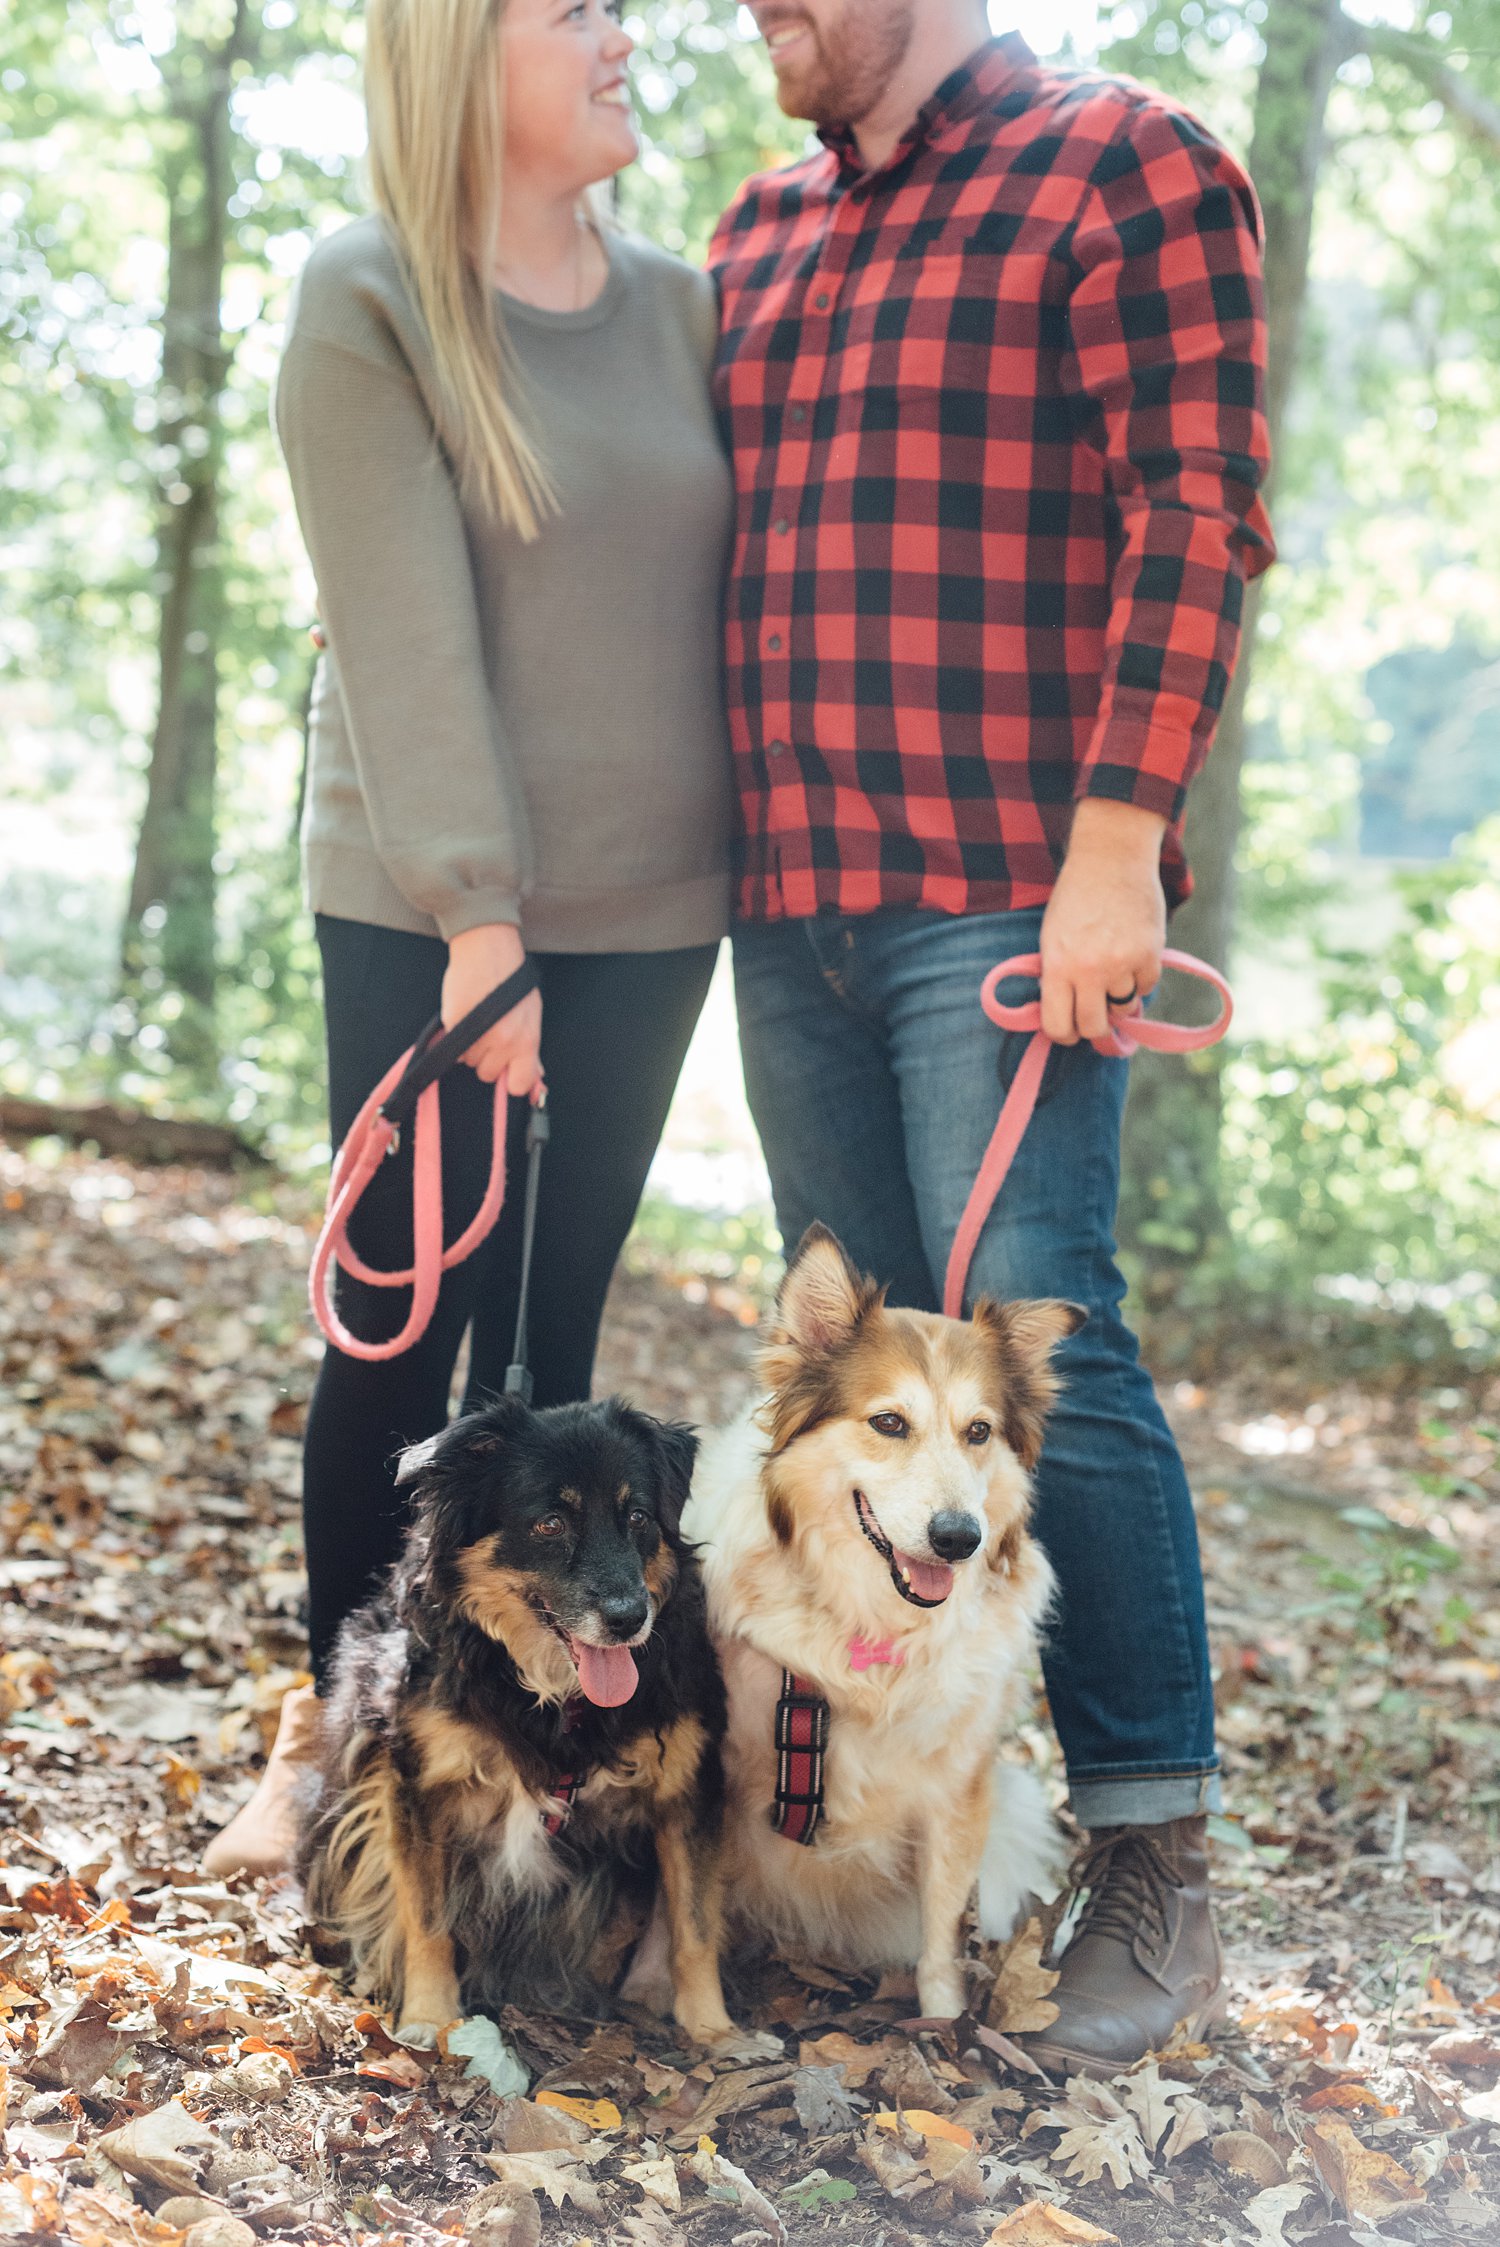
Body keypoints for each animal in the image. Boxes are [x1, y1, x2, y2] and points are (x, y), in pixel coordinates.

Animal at [296, 1384, 754, 2058]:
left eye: (638, 1517)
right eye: (550, 1523)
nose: (629, 1619)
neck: (553, 1694)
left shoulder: (688, 1787)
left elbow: (694, 1925)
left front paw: (715, 2032)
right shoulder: (415, 1784)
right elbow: (427, 1920)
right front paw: (431, 2019)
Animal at [678, 1231, 1077, 2022]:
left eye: (979, 1431)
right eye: (889, 1422)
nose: (958, 1539)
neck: (870, 1628)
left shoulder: (957, 1794)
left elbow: (941, 1936)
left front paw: (946, 2027)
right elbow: (686, 1918)